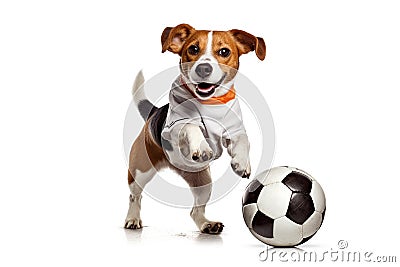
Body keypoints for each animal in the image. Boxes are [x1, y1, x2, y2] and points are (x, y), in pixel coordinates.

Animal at [123, 24, 264, 236]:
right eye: (193, 49)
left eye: (224, 52)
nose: (204, 68)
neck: (210, 103)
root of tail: (154, 112)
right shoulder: (173, 128)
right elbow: (191, 125)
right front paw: (203, 147)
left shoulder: (233, 131)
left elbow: (243, 139)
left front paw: (241, 162)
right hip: (139, 171)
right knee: (135, 196)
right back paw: (132, 219)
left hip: (203, 182)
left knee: (195, 211)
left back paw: (207, 224)